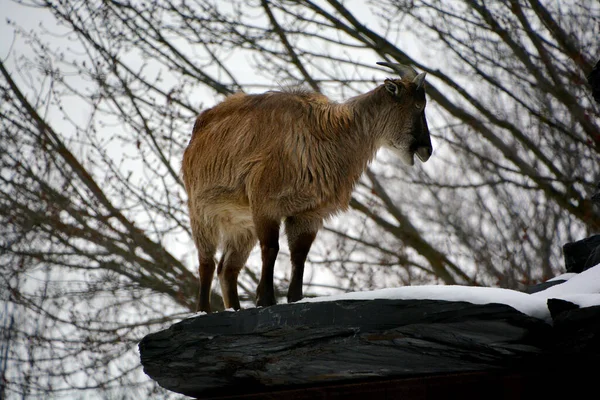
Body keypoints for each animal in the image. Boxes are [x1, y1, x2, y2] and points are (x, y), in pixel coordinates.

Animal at [182, 62, 432, 312]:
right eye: (418, 106)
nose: (427, 150)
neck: (325, 135)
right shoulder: (265, 203)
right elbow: (271, 248)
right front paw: (266, 299)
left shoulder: (309, 213)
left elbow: (299, 255)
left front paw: (295, 297)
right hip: (202, 212)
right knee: (207, 262)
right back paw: (203, 309)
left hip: (241, 226)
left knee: (228, 268)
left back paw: (234, 308)